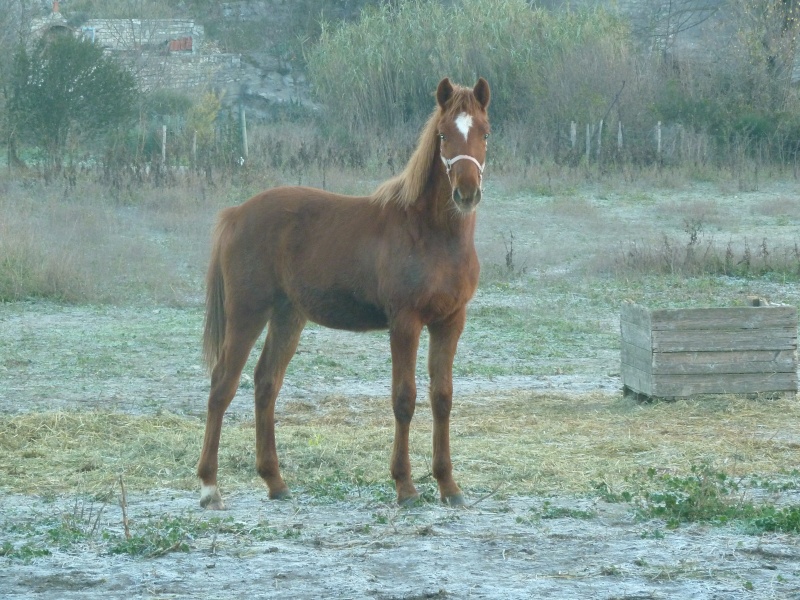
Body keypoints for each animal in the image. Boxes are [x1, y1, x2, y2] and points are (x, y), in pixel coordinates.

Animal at [197, 76, 490, 510]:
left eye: (484, 132)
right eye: (442, 135)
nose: (466, 193)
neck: (430, 235)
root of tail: (236, 213)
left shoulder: (450, 322)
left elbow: (442, 398)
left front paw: (449, 486)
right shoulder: (405, 323)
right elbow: (404, 398)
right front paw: (405, 486)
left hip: (288, 316)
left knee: (266, 383)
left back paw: (275, 481)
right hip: (248, 312)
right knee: (222, 386)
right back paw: (209, 487)